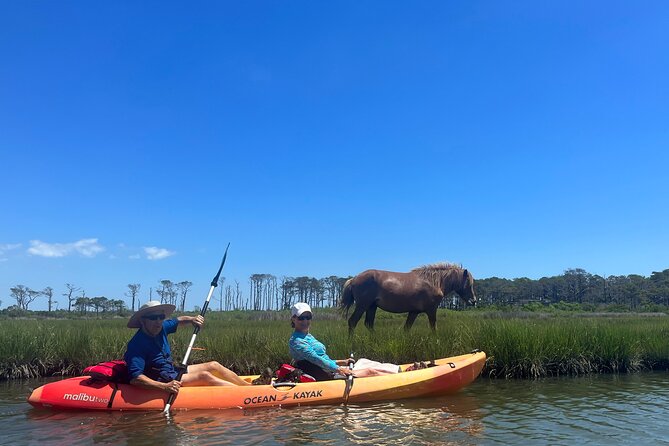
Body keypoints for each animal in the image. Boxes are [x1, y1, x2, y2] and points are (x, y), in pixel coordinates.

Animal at [339, 263, 476, 333]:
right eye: (468, 284)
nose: (473, 301)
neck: (434, 282)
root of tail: (354, 279)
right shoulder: (431, 310)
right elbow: (434, 328)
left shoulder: (414, 312)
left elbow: (407, 328)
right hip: (362, 305)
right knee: (352, 322)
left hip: (372, 307)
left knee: (369, 324)